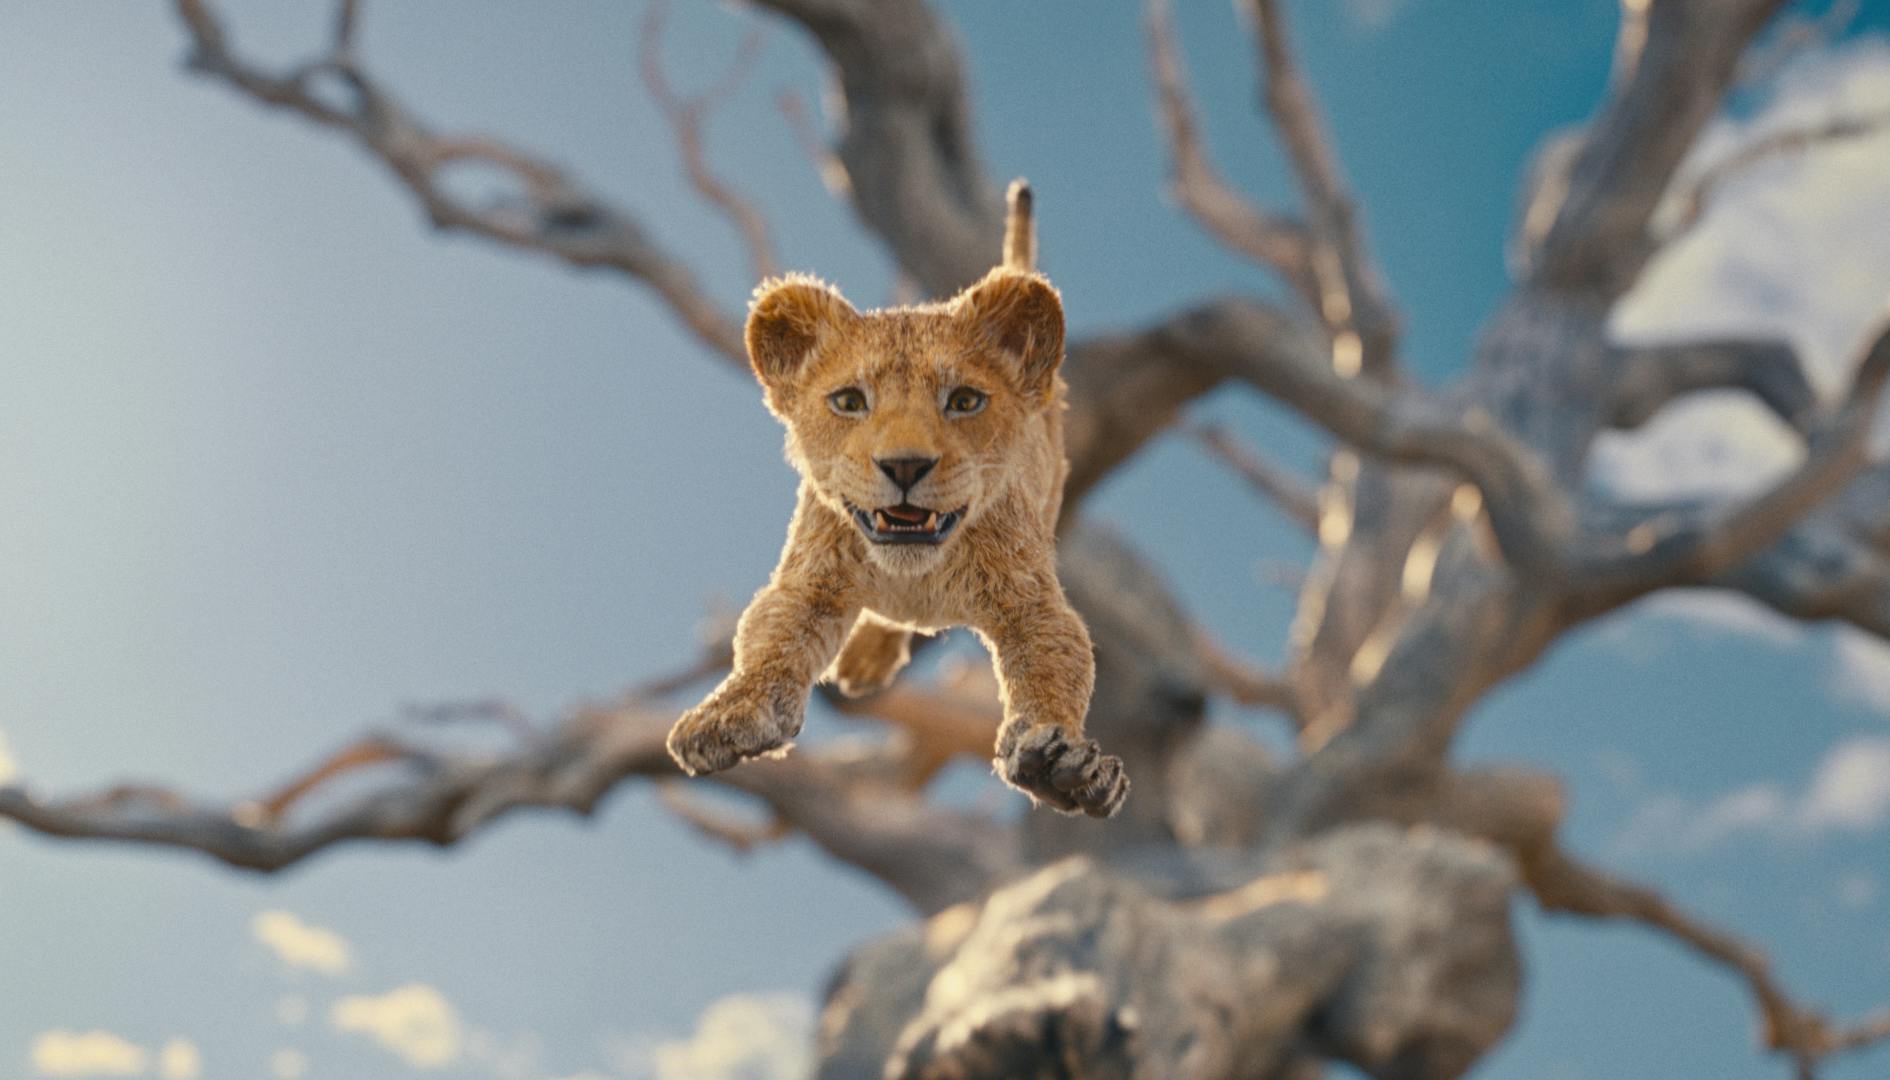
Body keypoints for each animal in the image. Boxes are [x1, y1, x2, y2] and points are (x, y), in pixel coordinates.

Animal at [665, 183, 1126, 818]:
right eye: (849, 401)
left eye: (964, 401)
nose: (905, 465)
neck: (914, 574)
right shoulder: (809, 581)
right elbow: (768, 640)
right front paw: (728, 714)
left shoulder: (1030, 600)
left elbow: (1056, 663)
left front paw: (1059, 764)